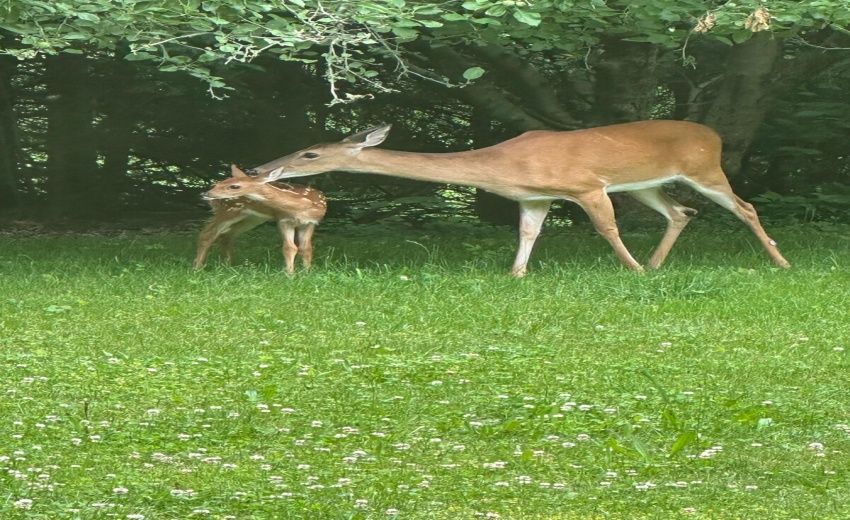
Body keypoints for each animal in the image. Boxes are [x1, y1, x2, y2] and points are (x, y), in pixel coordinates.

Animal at [194, 164, 327, 273]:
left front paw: (307, 273)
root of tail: (214, 201)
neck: (301, 207)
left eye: (234, 186)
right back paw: (198, 268)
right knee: (208, 233)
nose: (205, 194)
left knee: (227, 235)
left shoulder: (310, 223)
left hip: (252, 218)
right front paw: (290, 275)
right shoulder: (283, 220)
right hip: (229, 211)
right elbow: (289, 248)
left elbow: (306, 248)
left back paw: (227, 266)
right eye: (220, 183)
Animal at [246, 120, 791, 276]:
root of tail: (714, 135)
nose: (258, 168)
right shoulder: (534, 197)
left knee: (744, 206)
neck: (503, 167)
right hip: (648, 183)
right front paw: (516, 274)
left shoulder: (584, 185)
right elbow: (528, 232)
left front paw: (631, 270)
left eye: (311, 152)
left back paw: (780, 262)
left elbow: (606, 227)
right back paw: (658, 264)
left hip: (706, 169)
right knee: (681, 211)